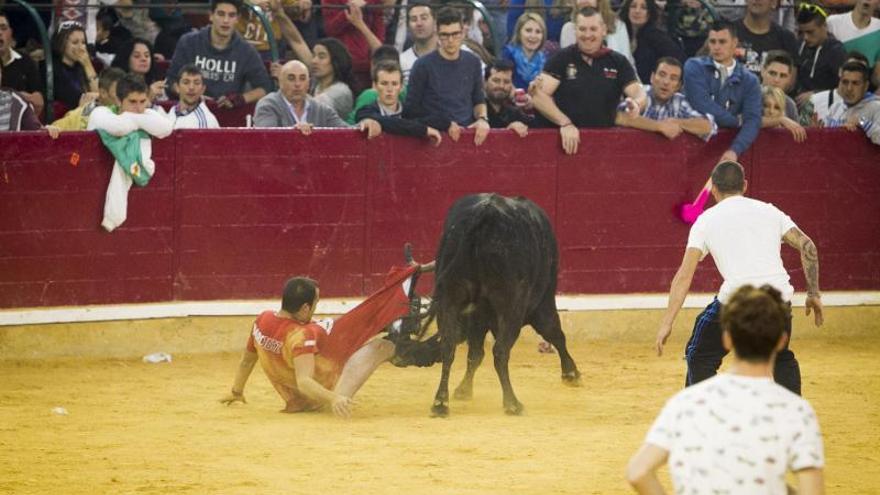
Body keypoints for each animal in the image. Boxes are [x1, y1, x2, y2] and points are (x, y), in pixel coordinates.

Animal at [424, 195, 576, 418]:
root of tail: (484, 215)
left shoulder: (476, 318)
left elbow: (475, 354)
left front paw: (463, 390)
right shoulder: (543, 303)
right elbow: (555, 333)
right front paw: (571, 373)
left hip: (449, 299)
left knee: (448, 347)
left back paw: (440, 403)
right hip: (511, 307)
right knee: (501, 351)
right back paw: (512, 403)